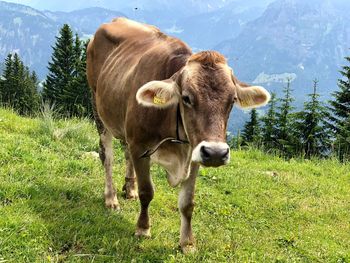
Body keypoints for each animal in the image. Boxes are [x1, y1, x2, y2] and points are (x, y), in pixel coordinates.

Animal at [87, 17, 270, 253]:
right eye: (186, 98)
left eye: (231, 101)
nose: (217, 153)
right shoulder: (140, 146)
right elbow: (148, 192)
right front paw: (143, 228)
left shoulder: (196, 152)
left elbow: (187, 203)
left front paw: (188, 242)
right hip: (97, 107)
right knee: (107, 157)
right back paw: (111, 199)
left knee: (124, 151)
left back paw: (130, 188)